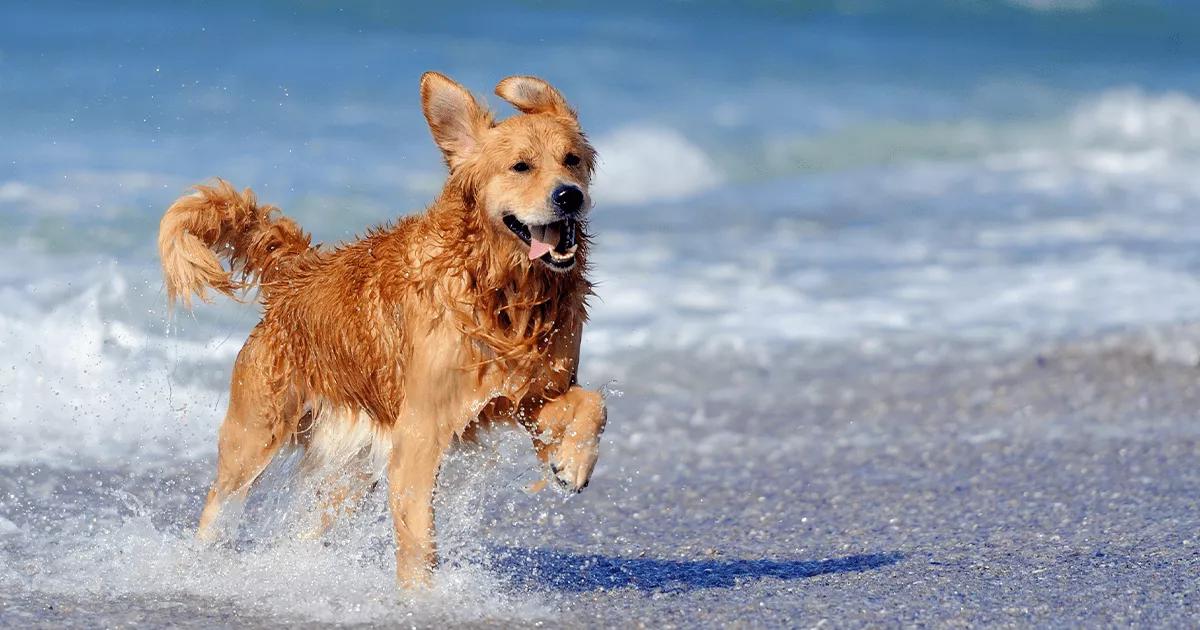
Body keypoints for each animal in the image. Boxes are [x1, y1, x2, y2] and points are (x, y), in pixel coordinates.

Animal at [157, 71, 609, 588]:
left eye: (571, 160)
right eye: (521, 166)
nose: (569, 195)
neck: (501, 289)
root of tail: (297, 275)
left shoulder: (528, 395)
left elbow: (592, 404)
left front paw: (572, 464)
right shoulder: (422, 428)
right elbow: (417, 532)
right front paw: (421, 595)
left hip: (351, 468)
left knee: (311, 527)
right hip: (256, 433)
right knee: (220, 504)